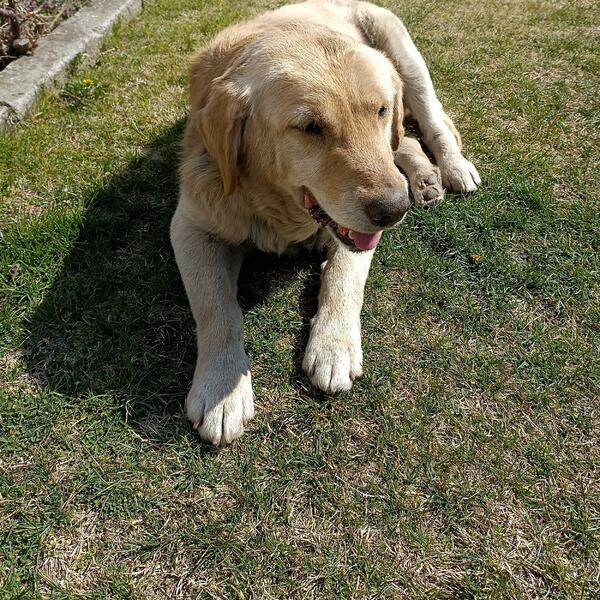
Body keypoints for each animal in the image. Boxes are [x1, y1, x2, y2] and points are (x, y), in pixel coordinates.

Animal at [170, 0, 480, 445]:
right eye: (310, 127)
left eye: (380, 109)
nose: (393, 210)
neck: (278, 207)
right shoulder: (192, 226)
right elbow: (216, 308)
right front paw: (221, 389)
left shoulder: (355, 235)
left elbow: (343, 276)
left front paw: (333, 347)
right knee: (403, 141)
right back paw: (422, 179)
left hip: (408, 64)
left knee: (430, 124)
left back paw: (450, 169)